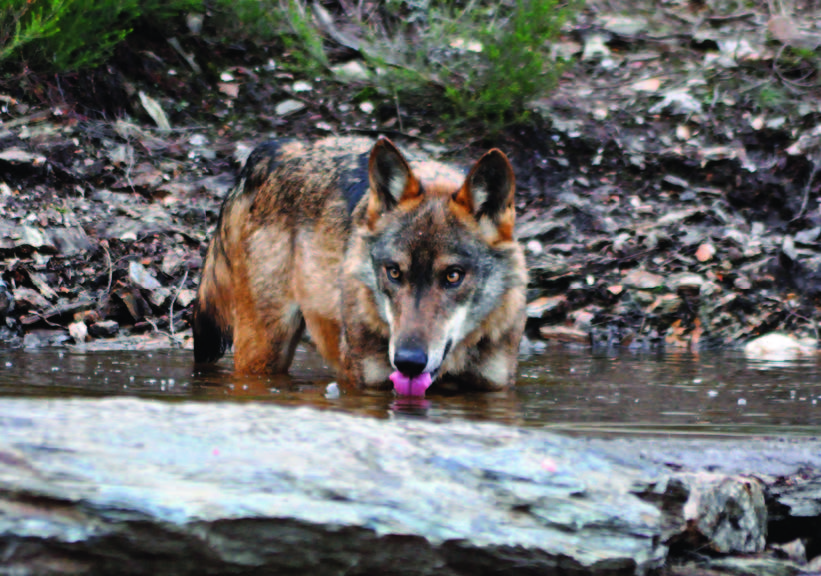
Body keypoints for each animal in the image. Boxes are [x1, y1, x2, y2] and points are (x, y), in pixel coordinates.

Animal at [191, 137, 524, 394]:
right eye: (394, 272)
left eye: (453, 276)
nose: (408, 362)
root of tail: (284, 148)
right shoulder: (368, 385)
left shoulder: (493, 388)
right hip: (262, 354)